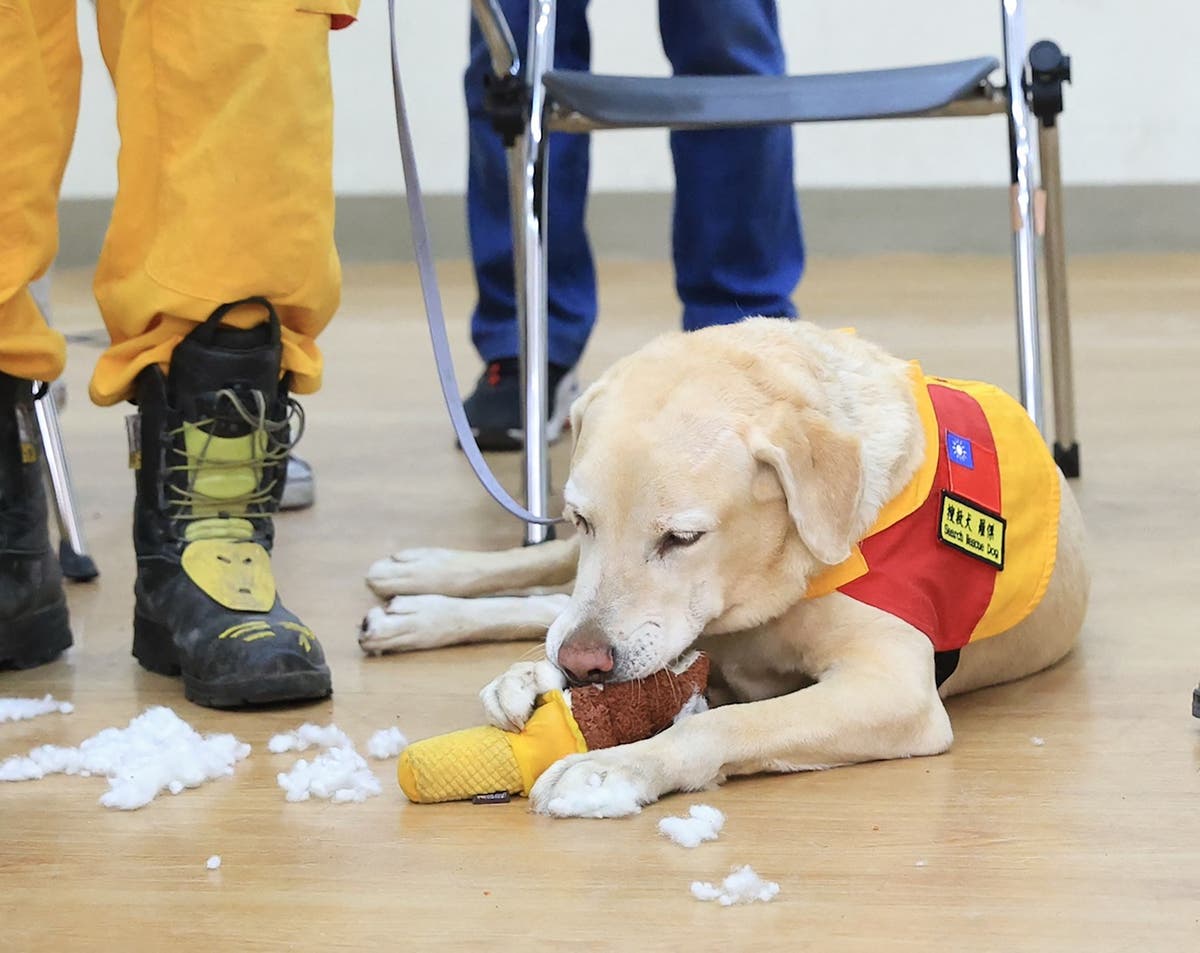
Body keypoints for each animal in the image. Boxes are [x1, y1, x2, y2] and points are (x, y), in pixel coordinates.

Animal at [362, 319, 1089, 816]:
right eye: (581, 518)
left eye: (682, 538)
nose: (582, 665)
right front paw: (535, 676)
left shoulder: (895, 690)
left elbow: (723, 720)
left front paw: (611, 768)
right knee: (544, 589)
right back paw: (423, 594)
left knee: (547, 603)